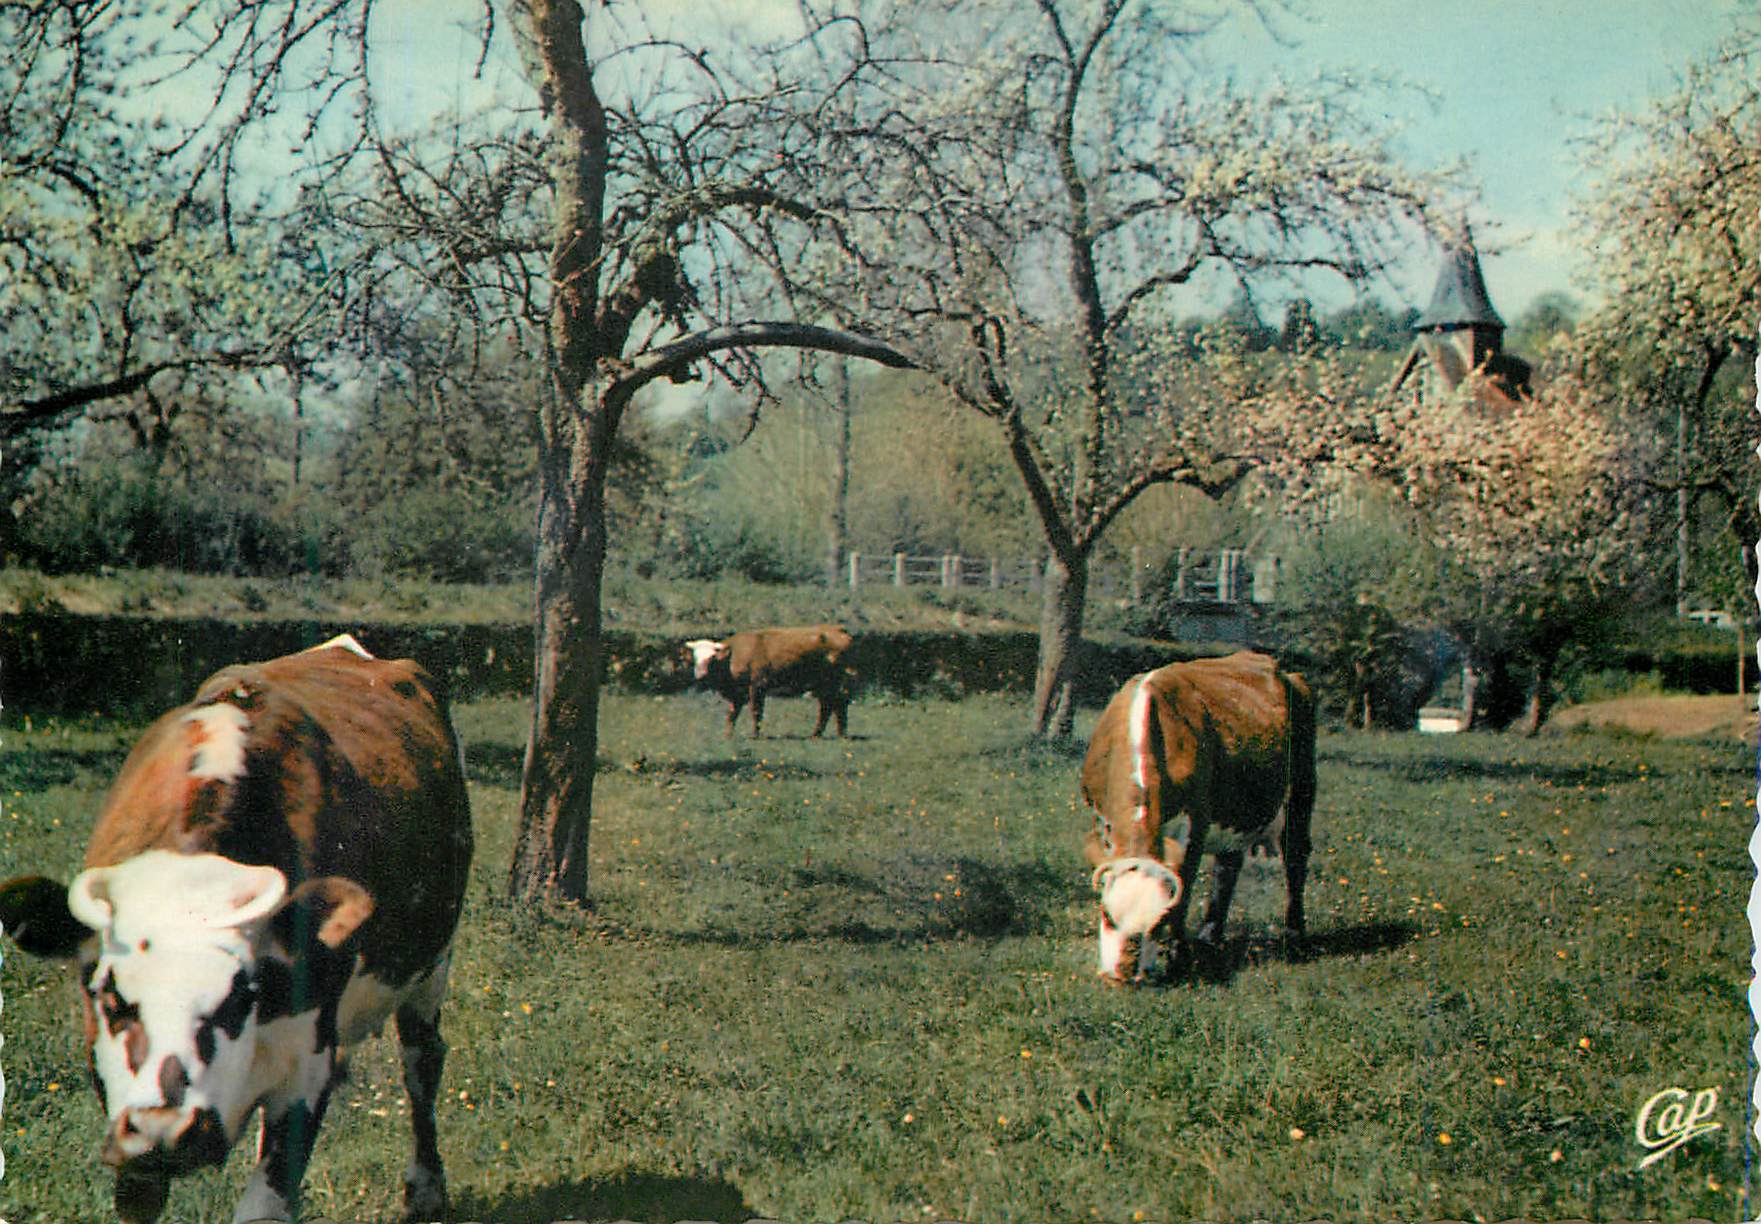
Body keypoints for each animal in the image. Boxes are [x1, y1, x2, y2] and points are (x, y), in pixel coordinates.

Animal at [0, 634, 473, 1224]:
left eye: (240, 996)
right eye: (109, 998)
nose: (167, 1128)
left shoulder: (306, 1069)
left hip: (433, 965)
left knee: (422, 1062)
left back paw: (426, 1188)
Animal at [683, 624, 855, 738]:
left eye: (711, 658)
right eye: (695, 657)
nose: (700, 675)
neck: (733, 656)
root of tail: (837, 629)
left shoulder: (757, 686)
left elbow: (756, 712)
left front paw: (755, 735)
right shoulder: (737, 693)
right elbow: (732, 714)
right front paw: (728, 735)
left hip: (834, 682)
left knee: (835, 705)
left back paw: (835, 734)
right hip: (824, 684)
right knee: (831, 706)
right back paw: (824, 734)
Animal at [1080, 650, 1315, 986]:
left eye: (1157, 922)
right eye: (1108, 915)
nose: (1126, 971)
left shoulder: (1196, 822)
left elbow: (1184, 889)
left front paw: (1179, 959)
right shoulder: (1101, 817)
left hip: (1301, 790)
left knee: (1295, 858)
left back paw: (1294, 937)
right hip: (1237, 812)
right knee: (1227, 866)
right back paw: (1208, 937)